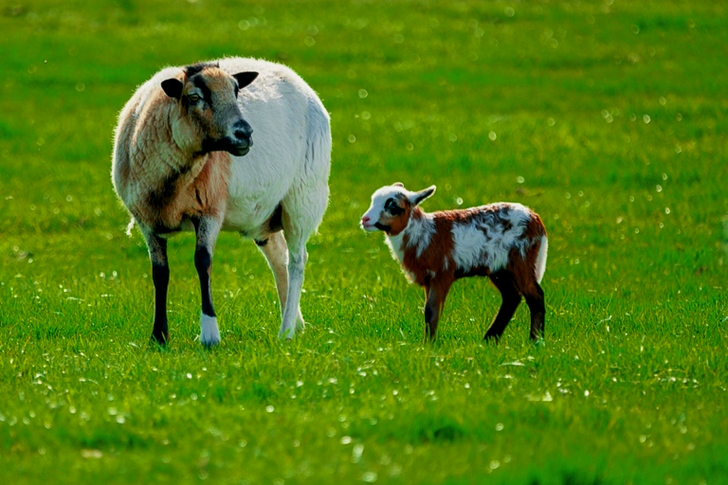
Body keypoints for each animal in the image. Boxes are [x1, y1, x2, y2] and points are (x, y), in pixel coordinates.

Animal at [112, 58, 331, 345]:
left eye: (236, 92)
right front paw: (159, 336)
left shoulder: (209, 210)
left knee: (297, 261)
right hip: (267, 214)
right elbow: (160, 273)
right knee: (279, 257)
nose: (245, 134)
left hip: (303, 197)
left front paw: (210, 334)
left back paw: (286, 331)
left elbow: (202, 261)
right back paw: (294, 321)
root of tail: (297, 79)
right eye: (195, 97)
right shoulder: (146, 220)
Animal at [361, 183, 548, 342]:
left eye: (393, 207)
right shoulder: (429, 280)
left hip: (522, 259)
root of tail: (536, 219)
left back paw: (535, 341)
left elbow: (431, 311)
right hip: (499, 269)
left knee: (535, 296)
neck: (423, 232)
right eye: (373, 200)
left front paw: (429, 346)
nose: (365, 220)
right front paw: (428, 343)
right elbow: (428, 311)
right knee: (512, 297)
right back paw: (489, 340)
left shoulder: (442, 275)